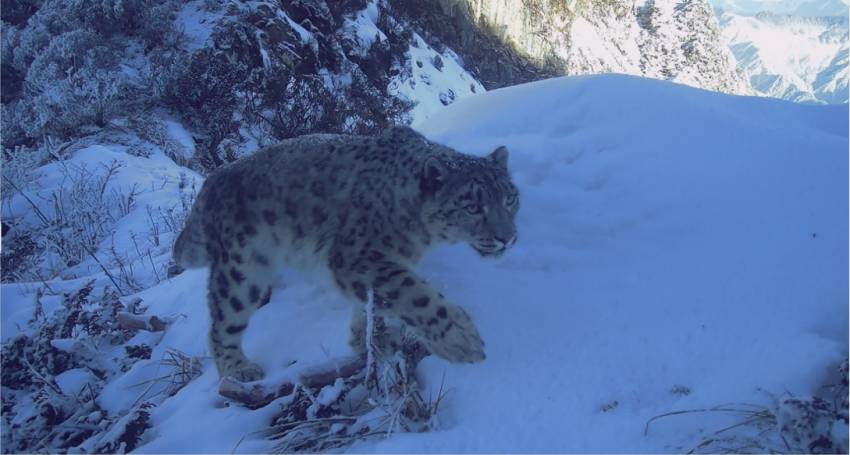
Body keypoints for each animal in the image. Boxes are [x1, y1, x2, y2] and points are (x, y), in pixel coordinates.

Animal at [172, 125, 516, 382]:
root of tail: (211, 181)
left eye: (510, 199)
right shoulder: (356, 257)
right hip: (242, 269)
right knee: (223, 321)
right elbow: (412, 294)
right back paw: (238, 369)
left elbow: (371, 304)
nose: (508, 238)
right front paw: (461, 339)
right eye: (472, 207)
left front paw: (366, 340)